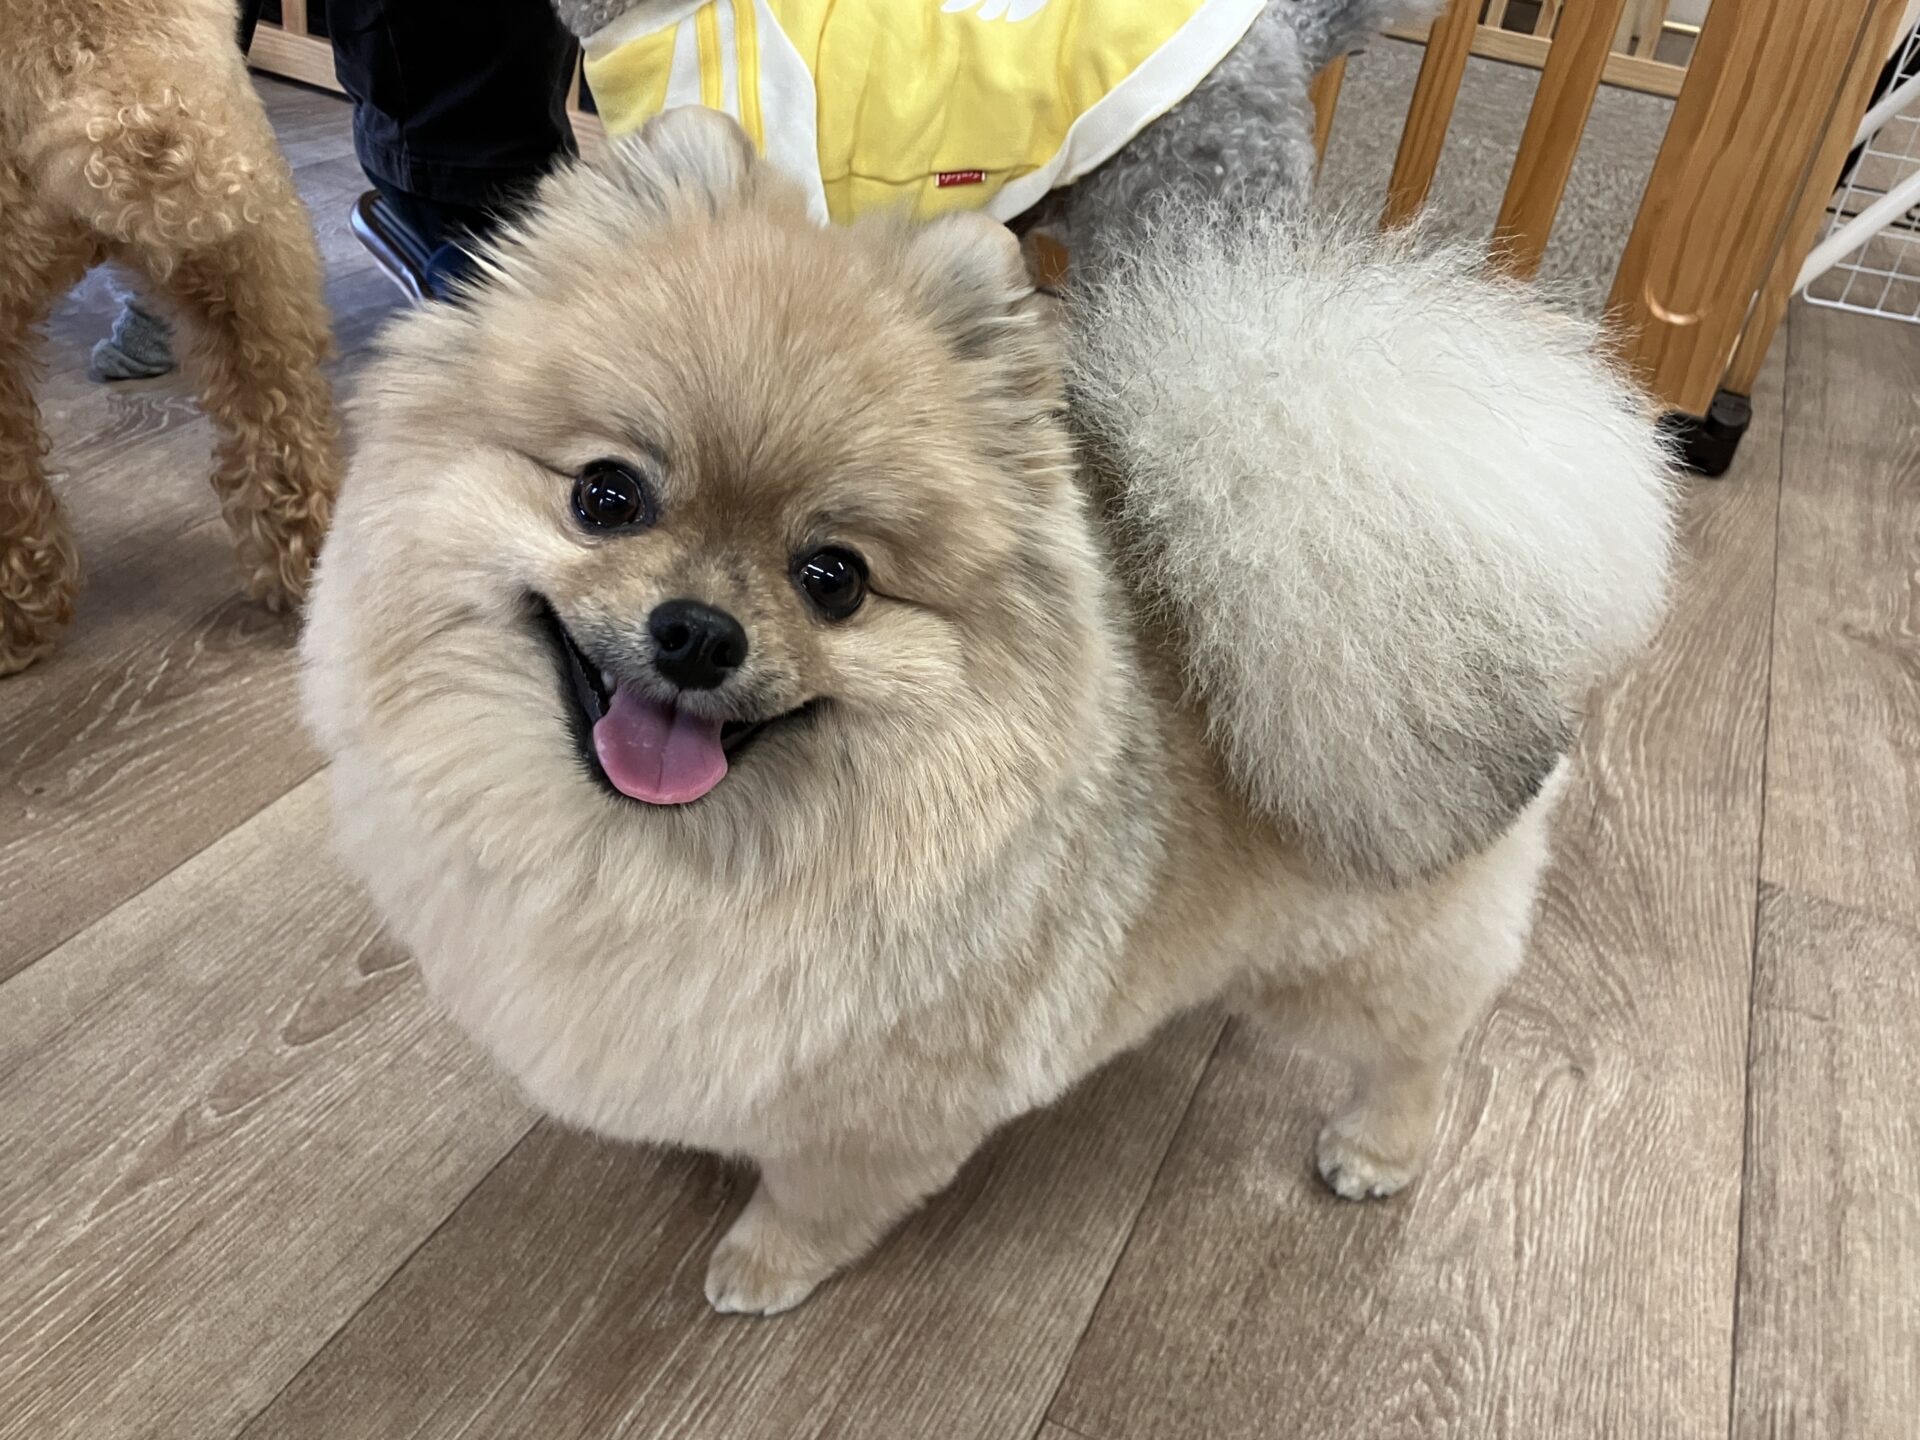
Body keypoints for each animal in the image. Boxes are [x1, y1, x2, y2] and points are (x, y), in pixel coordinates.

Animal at [300, 108, 1675, 1315]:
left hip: (1366, 951)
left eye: (834, 579)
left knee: (1422, 1041)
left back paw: (1378, 1147)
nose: (697, 632)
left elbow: (815, 1198)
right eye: (607, 496)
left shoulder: (886, 1110)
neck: (673, 860)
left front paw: (760, 1266)